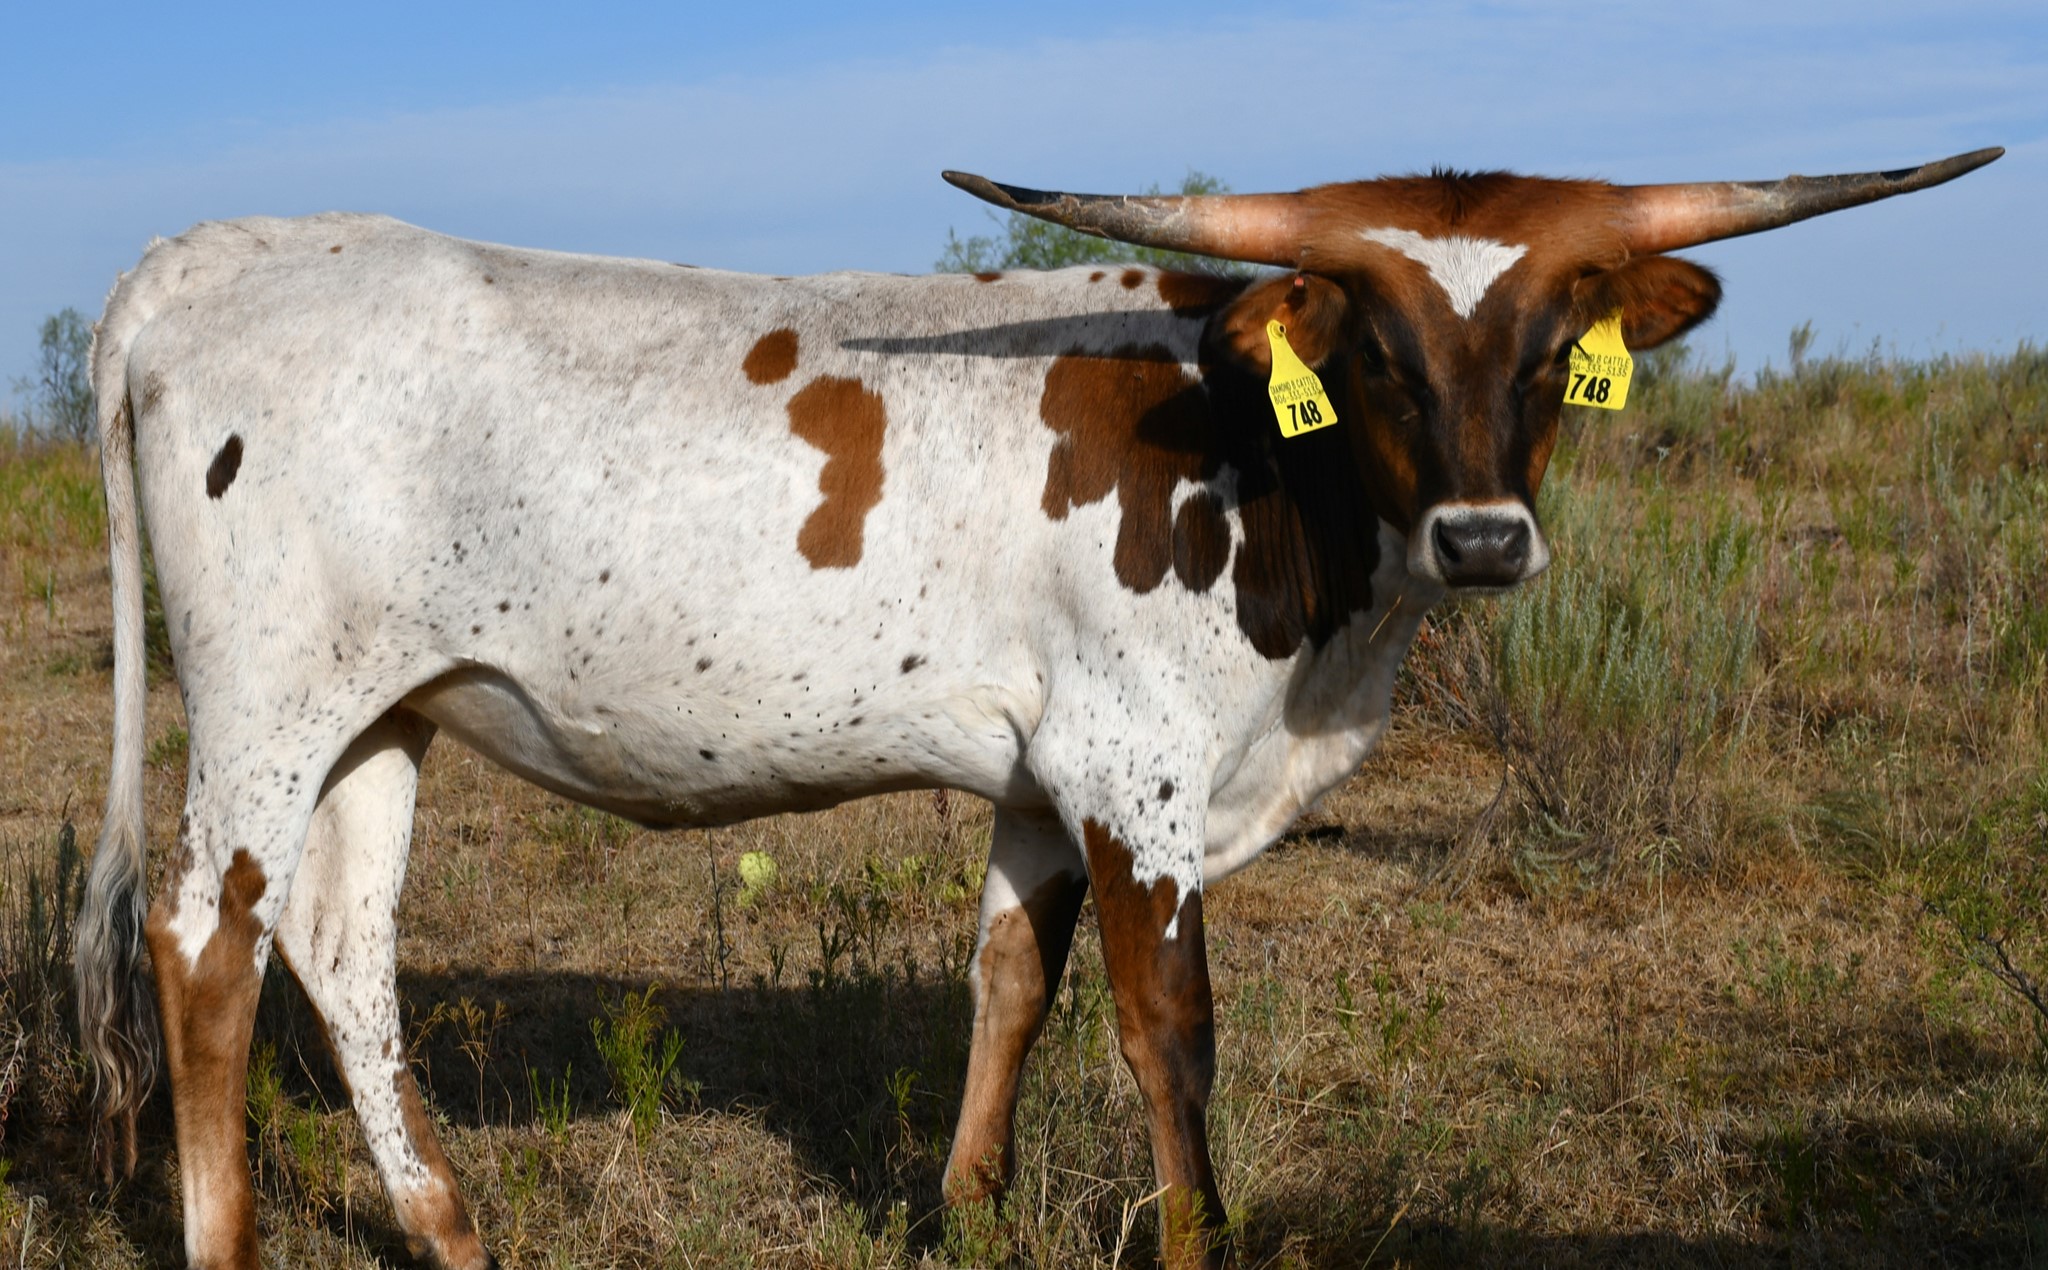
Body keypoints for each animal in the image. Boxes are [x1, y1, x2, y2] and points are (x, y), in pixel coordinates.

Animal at [74, 147, 1997, 1269]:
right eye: (1374, 349)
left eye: (1555, 347)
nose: (1479, 536)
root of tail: (205, 254)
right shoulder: (1135, 777)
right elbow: (1170, 1032)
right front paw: (1195, 1234)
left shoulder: (1031, 778)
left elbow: (1007, 980)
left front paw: (968, 1211)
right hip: (261, 704)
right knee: (205, 941)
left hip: (382, 708)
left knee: (341, 946)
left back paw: (450, 1225)